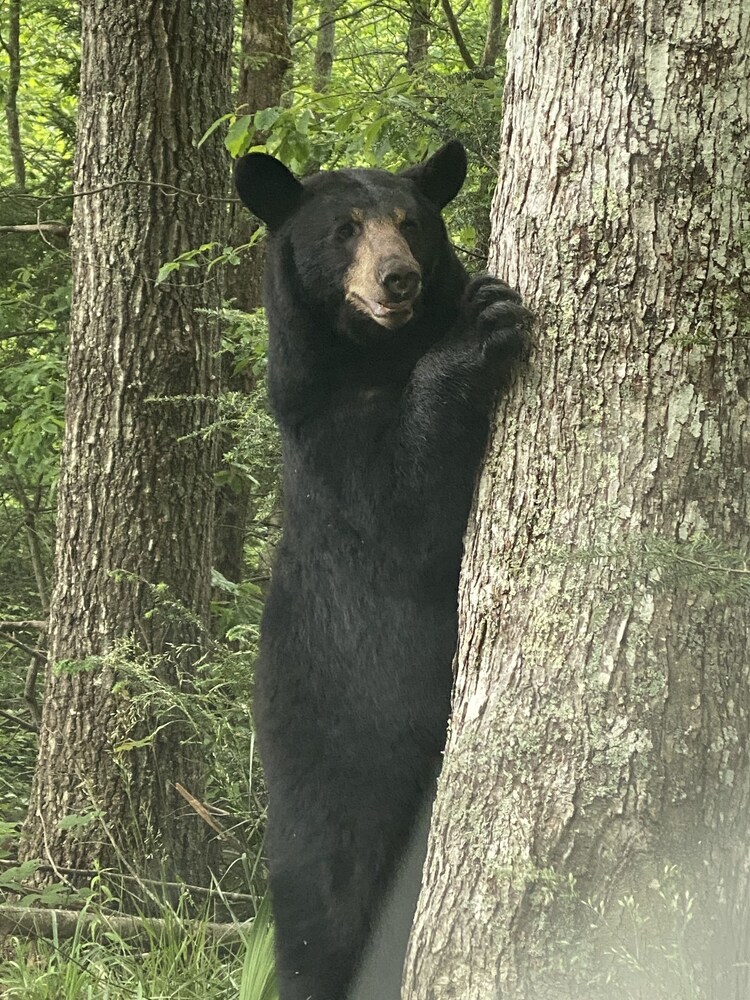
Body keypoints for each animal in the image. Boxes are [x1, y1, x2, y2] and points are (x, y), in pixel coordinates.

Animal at [238, 143, 532, 1000]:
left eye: (411, 221)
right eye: (344, 230)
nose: (398, 278)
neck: (379, 357)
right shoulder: (332, 449)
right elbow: (408, 509)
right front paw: (477, 323)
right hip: (331, 788)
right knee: (323, 918)